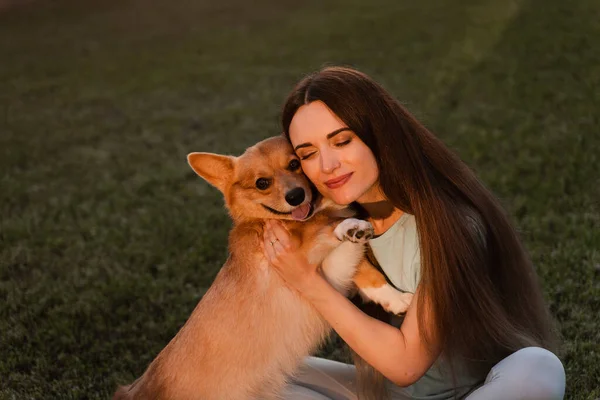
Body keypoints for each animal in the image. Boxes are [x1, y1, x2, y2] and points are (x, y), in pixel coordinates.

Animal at [113, 136, 412, 398]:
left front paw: (396, 299)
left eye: (295, 163)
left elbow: (366, 271)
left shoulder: (330, 271)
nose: (296, 195)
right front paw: (349, 225)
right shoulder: (302, 252)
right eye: (262, 183)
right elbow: (324, 227)